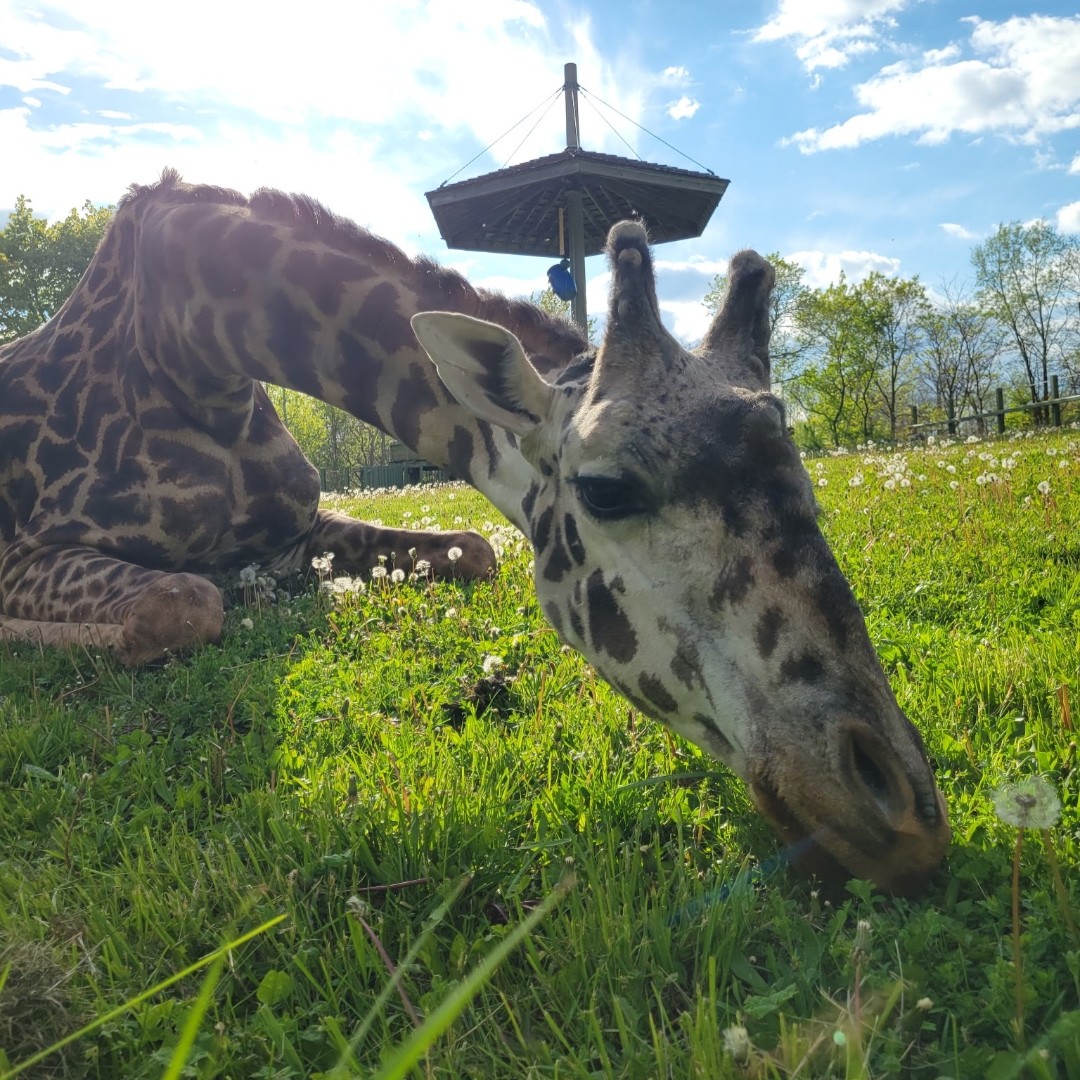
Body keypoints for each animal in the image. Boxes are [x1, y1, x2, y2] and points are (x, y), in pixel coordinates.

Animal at [0, 170, 950, 894]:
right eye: (605, 491)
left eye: (805, 479)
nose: (904, 814)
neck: (193, 350)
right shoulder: (27, 551)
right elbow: (180, 605)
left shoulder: (298, 531)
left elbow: (476, 550)